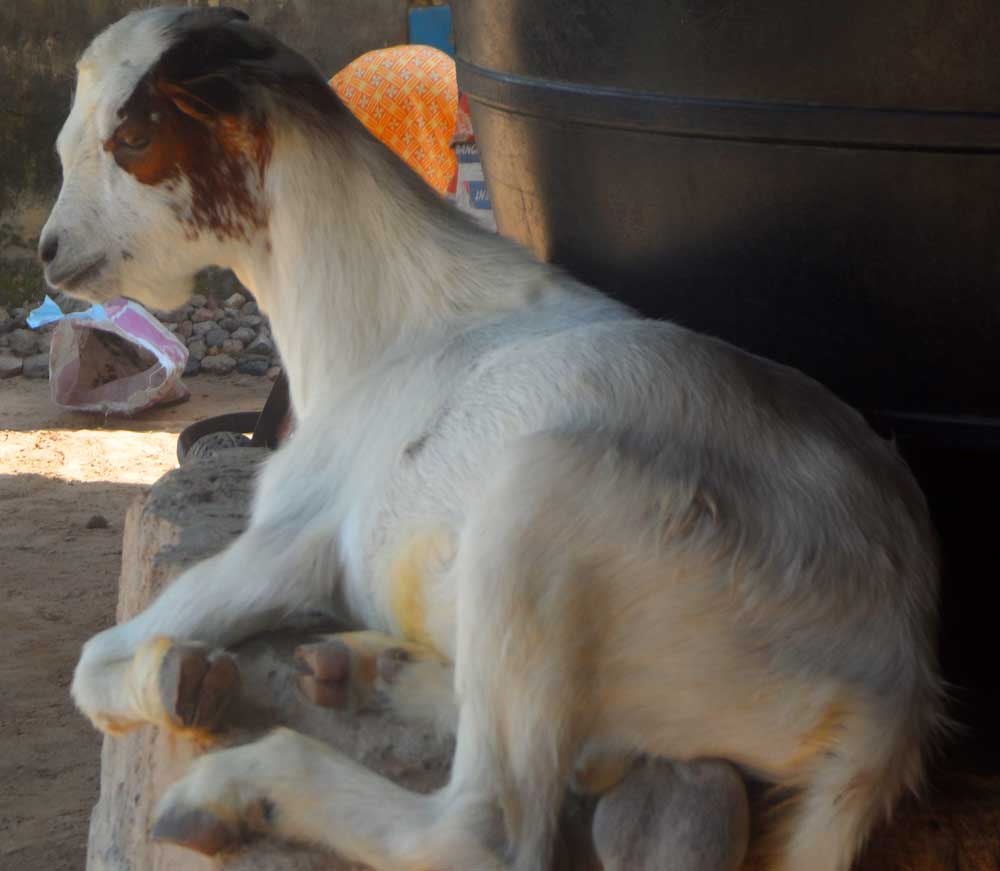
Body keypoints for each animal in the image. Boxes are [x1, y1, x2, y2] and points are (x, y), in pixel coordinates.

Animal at [41, 8, 944, 871]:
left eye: (133, 136)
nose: (51, 252)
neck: (384, 326)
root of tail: (893, 690)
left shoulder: (292, 538)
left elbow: (94, 661)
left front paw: (174, 677)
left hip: (541, 504)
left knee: (489, 828)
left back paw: (242, 786)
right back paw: (370, 671)